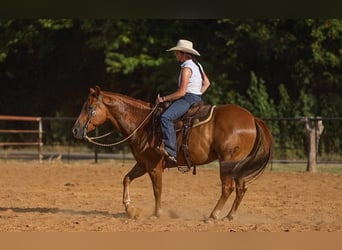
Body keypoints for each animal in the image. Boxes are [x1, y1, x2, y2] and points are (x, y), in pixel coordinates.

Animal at [73, 85, 276, 221]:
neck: (144, 123)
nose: (75, 130)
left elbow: (157, 189)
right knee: (241, 188)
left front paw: (157, 214)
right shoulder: (143, 163)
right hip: (238, 165)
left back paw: (213, 215)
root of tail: (252, 118)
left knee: (228, 188)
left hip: (228, 162)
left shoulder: (154, 166)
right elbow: (126, 179)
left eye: (88, 108)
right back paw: (229, 216)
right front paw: (130, 209)